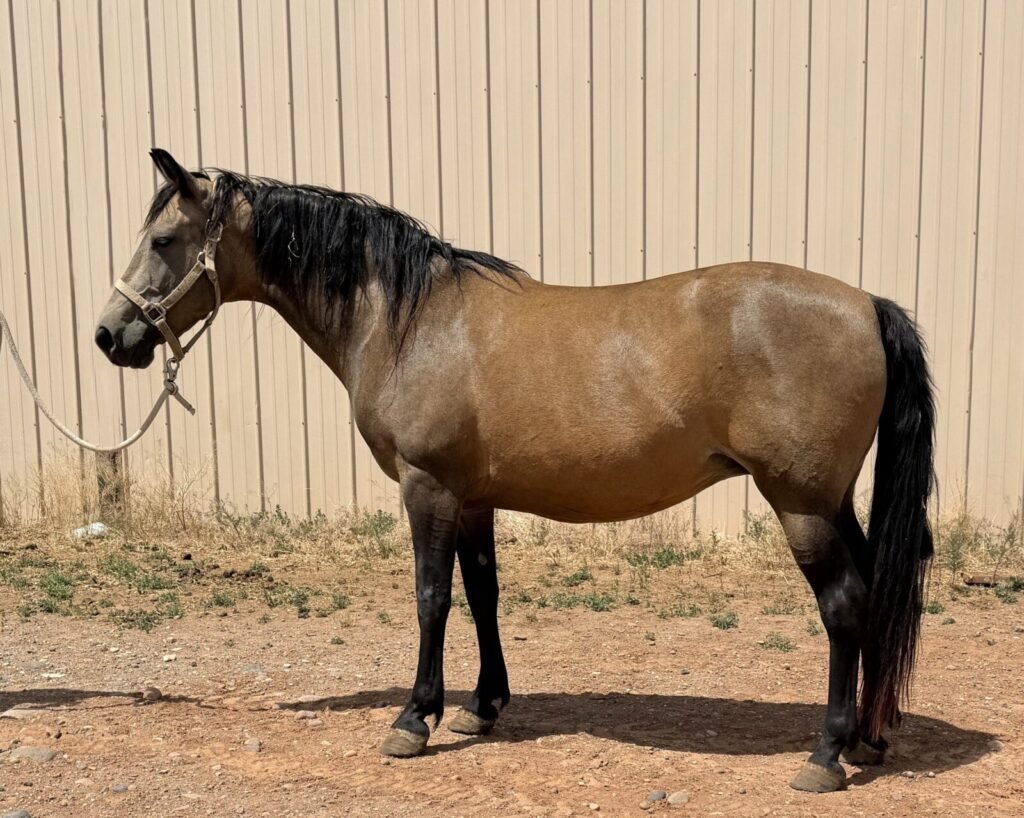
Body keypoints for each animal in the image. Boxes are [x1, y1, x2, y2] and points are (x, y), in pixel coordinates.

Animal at [95, 149, 935, 793]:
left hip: (801, 503)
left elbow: (432, 599)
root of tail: (866, 305)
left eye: (165, 239)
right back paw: (866, 739)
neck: (409, 320)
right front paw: (481, 706)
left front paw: (414, 718)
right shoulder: (473, 498)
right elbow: (483, 595)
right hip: (833, 501)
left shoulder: (427, 487)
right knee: (869, 597)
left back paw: (826, 755)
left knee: (844, 605)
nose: (109, 335)